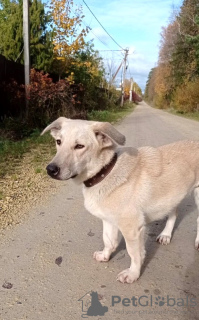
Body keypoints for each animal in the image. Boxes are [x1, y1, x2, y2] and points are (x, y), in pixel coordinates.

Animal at [40, 117, 199, 282]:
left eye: (79, 146)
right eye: (58, 142)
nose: (50, 169)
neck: (106, 171)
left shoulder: (132, 228)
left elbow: (134, 253)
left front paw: (133, 273)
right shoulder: (108, 220)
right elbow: (108, 240)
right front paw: (105, 255)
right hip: (172, 195)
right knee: (173, 212)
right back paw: (166, 235)